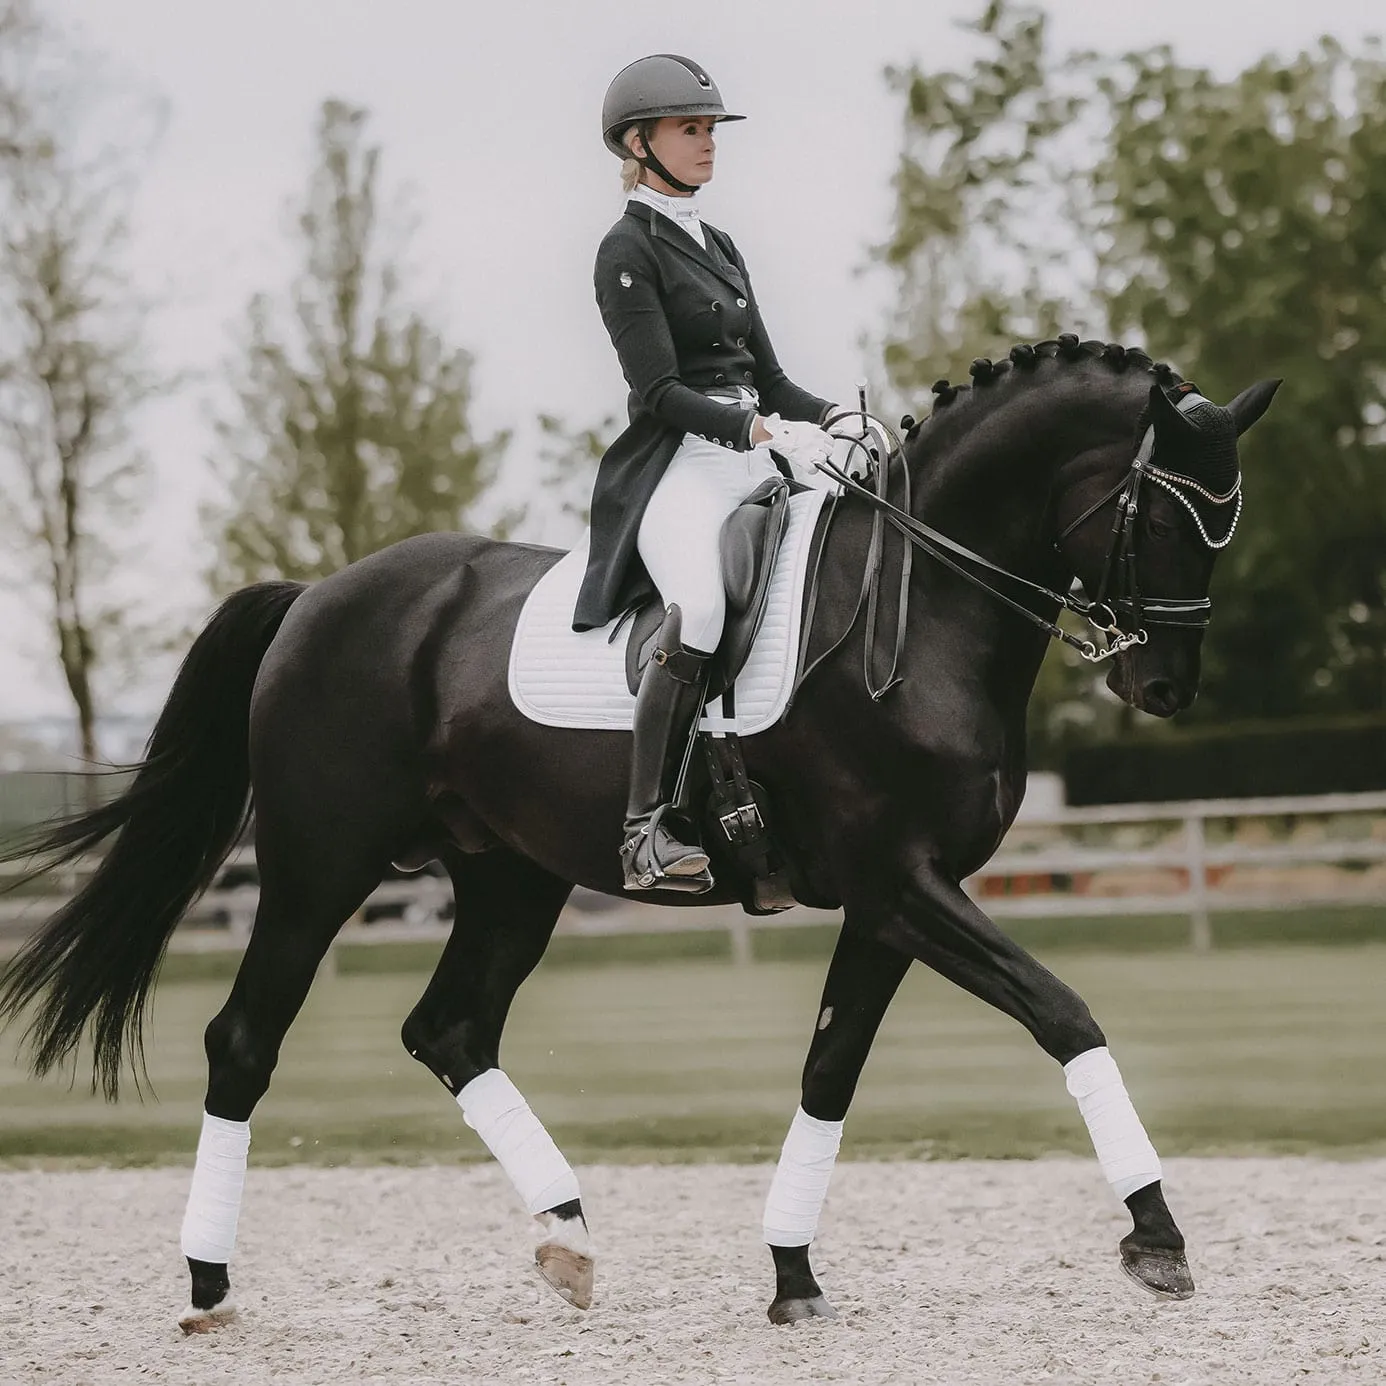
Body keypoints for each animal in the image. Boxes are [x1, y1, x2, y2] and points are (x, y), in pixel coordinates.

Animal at [0, 338, 1275, 1330]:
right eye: (1168, 516)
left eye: (1227, 522)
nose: (1164, 686)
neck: (922, 609)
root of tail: (318, 594)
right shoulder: (905, 887)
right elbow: (1064, 1013)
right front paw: (1157, 1236)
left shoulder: (893, 903)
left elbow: (829, 1070)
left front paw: (792, 1275)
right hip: (320, 867)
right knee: (244, 1042)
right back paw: (210, 1284)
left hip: (508, 878)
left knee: (448, 1028)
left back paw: (566, 1237)